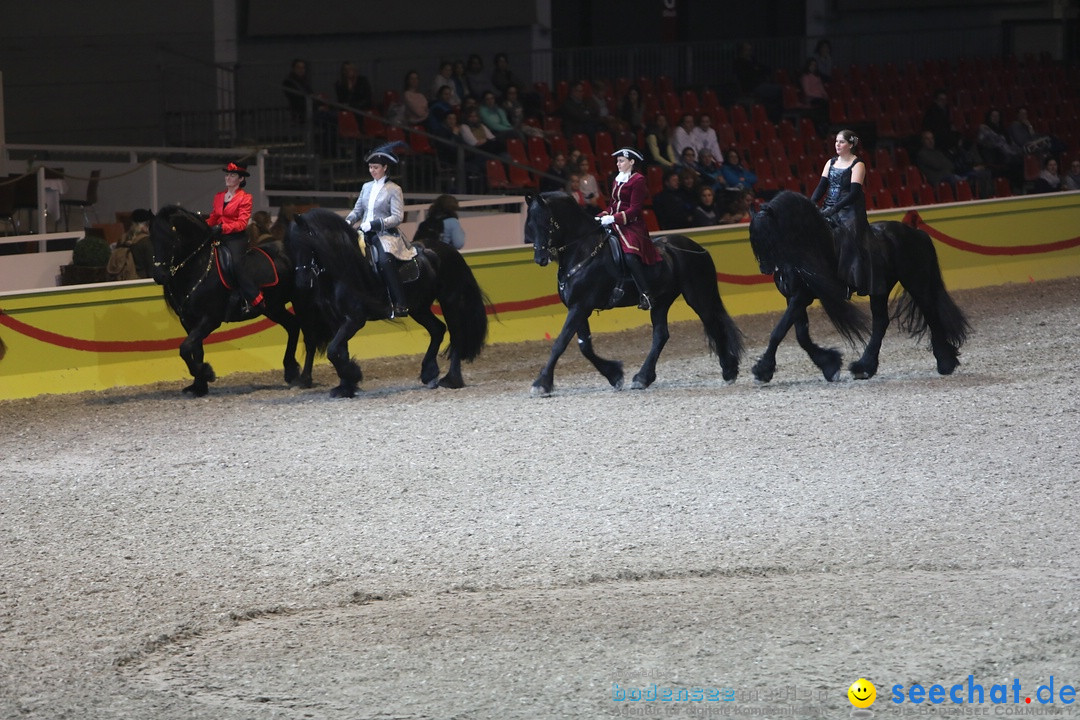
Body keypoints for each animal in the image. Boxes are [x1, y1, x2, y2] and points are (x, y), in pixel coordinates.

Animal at [149, 202, 315, 397]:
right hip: (273, 307)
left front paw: (207, 373)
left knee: (309, 335)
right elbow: (195, 349)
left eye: (171, 238)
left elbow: (185, 348)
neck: (200, 266)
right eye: (152, 238)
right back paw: (291, 371)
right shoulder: (189, 321)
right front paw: (199, 385)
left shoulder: (209, 319)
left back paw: (305, 378)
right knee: (293, 326)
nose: (159, 275)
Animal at [287, 208, 490, 399]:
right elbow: (338, 351)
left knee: (456, 336)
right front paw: (346, 387)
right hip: (419, 308)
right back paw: (429, 373)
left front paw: (354, 375)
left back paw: (451, 379)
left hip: (450, 301)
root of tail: (447, 249)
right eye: (291, 248)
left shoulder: (355, 320)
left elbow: (333, 350)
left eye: (307, 243)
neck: (342, 269)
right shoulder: (336, 321)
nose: (302, 283)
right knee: (437, 329)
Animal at [522, 191, 743, 395]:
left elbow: (560, 343)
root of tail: (698, 248)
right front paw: (614, 375)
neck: (583, 250)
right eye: (530, 225)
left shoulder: (580, 306)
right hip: (661, 301)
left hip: (697, 295)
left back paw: (729, 371)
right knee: (661, 335)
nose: (540, 258)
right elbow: (585, 346)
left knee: (713, 324)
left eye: (546, 222)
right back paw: (643, 378)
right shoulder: (578, 307)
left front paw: (541, 383)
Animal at [751, 189, 972, 382]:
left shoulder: (802, 296)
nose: (767, 268)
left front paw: (763, 370)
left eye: (769, 234)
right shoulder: (793, 296)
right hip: (880, 288)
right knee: (881, 322)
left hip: (915, 281)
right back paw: (865, 367)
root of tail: (915, 233)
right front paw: (828, 365)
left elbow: (779, 331)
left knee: (930, 313)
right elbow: (800, 335)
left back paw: (945, 363)